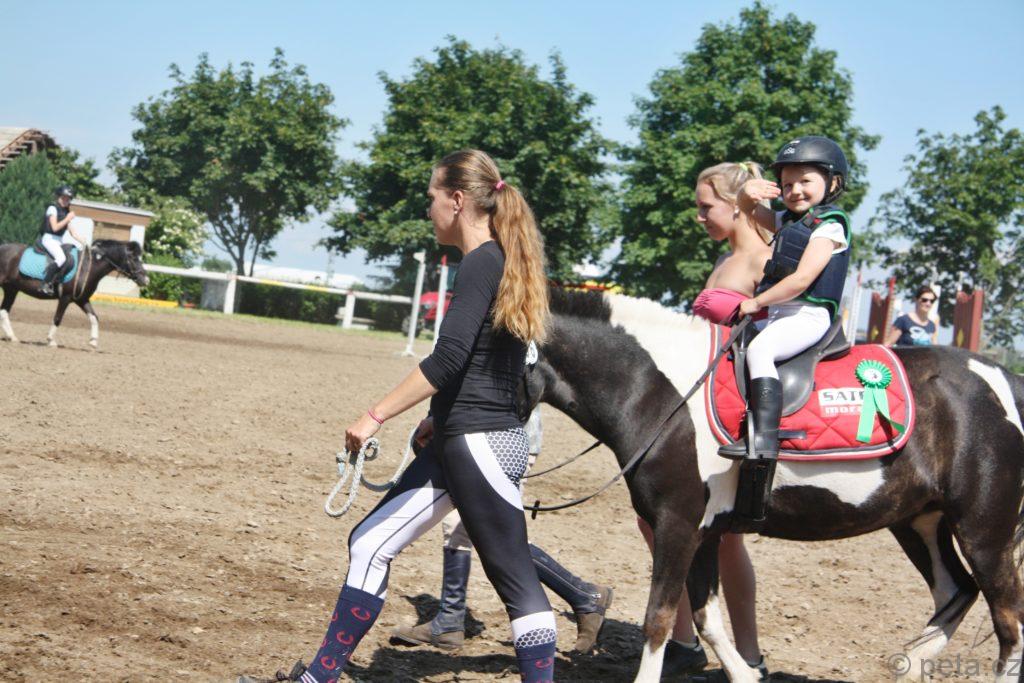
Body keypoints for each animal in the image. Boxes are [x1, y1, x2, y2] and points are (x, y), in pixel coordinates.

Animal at [0, 239, 149, 349]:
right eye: (133, 258)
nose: (146, 280)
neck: (88, 268)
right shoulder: (65, 298)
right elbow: (57, 318)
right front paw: (50, 340)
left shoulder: (82, 299)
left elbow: (94, 317)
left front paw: (93, 341)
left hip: (11, 289)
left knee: (4, 311)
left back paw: (12, 337)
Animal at [522, 288, 1024, 682]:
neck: (659, 390)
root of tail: (1006, 381)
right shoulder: (705, 532)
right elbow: (706, 617)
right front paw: (745, 674)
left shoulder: (677, 525)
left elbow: (659, 619)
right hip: (920, 521)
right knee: (957, 591)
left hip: (985, 531)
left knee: (1008, 624)